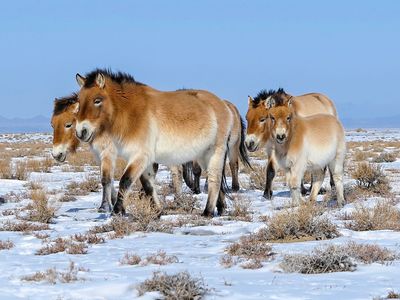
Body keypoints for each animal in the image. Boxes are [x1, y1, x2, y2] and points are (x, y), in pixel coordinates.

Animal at [73, 69, 233, 217]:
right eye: (79, 101)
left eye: (97, 100)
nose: (81, 131)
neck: (132, 113)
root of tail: (223, 104)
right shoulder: (145, 160)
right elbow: (148, 185)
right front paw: (158, 211)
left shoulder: (140, 155)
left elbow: (125, 181)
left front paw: (117, 212)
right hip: (202, 156)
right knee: (216, 181)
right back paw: (221, 208)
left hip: (215, 152)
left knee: (214, 179)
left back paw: (208, 212)